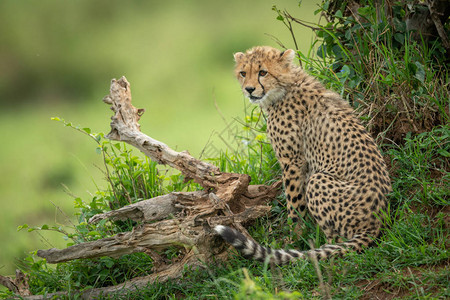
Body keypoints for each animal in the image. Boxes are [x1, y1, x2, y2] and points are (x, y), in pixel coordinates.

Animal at [214, 45, 390, 264]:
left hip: (319, 180)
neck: (286, 86)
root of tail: (376, 222)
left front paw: (294, 237)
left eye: (263, 72)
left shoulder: (292, 161)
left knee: (337, 241)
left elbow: (294, 202)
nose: (249, 89)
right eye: (243, 73)